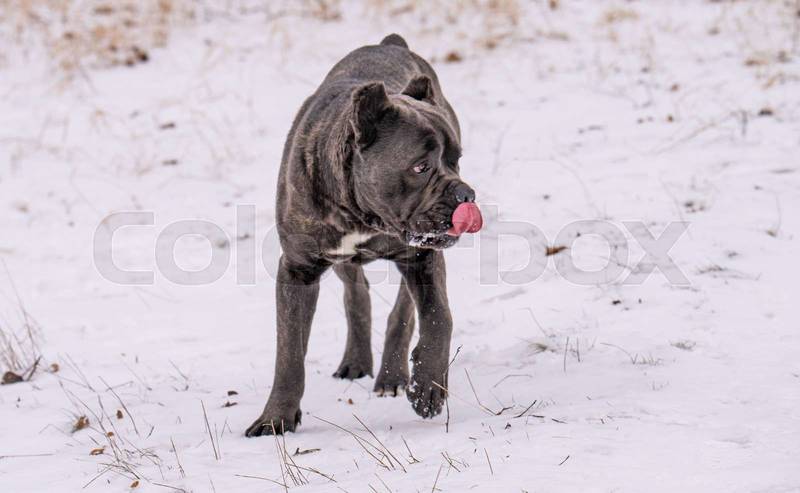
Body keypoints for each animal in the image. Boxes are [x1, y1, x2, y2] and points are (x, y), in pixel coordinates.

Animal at [246, 34, 483, 436]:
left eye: (456, 160)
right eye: (420, 167)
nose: (465, 194)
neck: (363, 214)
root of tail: (391, 43)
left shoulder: (422, 258)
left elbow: (438, 317)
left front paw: (428, 388)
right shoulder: (297, 271)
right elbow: (289, 352)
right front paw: (275, 418)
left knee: (402, 311)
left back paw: (392, 374)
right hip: (342, 260)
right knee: (357, 293)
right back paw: (356, 361)